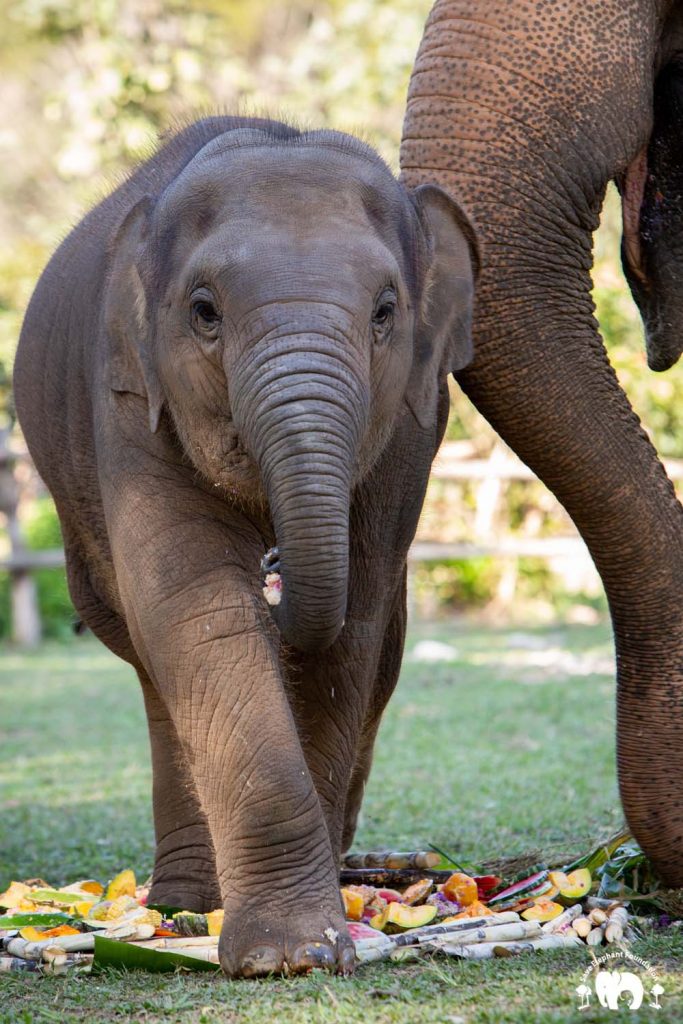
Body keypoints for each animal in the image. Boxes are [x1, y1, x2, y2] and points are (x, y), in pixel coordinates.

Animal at [14, 116, 475, 978]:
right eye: (204, 312)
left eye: (385, 311)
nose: (272, 566)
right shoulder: (129, 403)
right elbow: (198, 614)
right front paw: (285, 957)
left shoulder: (411, 422)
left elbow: (352, 626)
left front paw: (312, 946)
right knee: (156, 667)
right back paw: (182, 907)